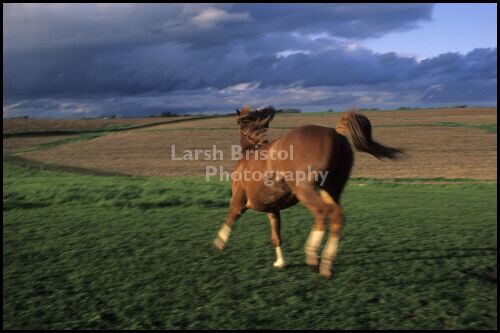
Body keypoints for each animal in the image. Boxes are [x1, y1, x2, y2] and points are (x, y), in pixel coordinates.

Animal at [213, 105, 400, 278]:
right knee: (337, 217)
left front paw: (219, 243)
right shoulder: (272, 209)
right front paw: (280, 262)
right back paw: (326, 264)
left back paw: (312, 256)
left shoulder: (239, 200)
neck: (249, 153)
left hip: (305, 189)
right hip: (331, 189)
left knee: (322, 212)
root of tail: (335, 133)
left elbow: (231, 216)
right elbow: (276, 235)